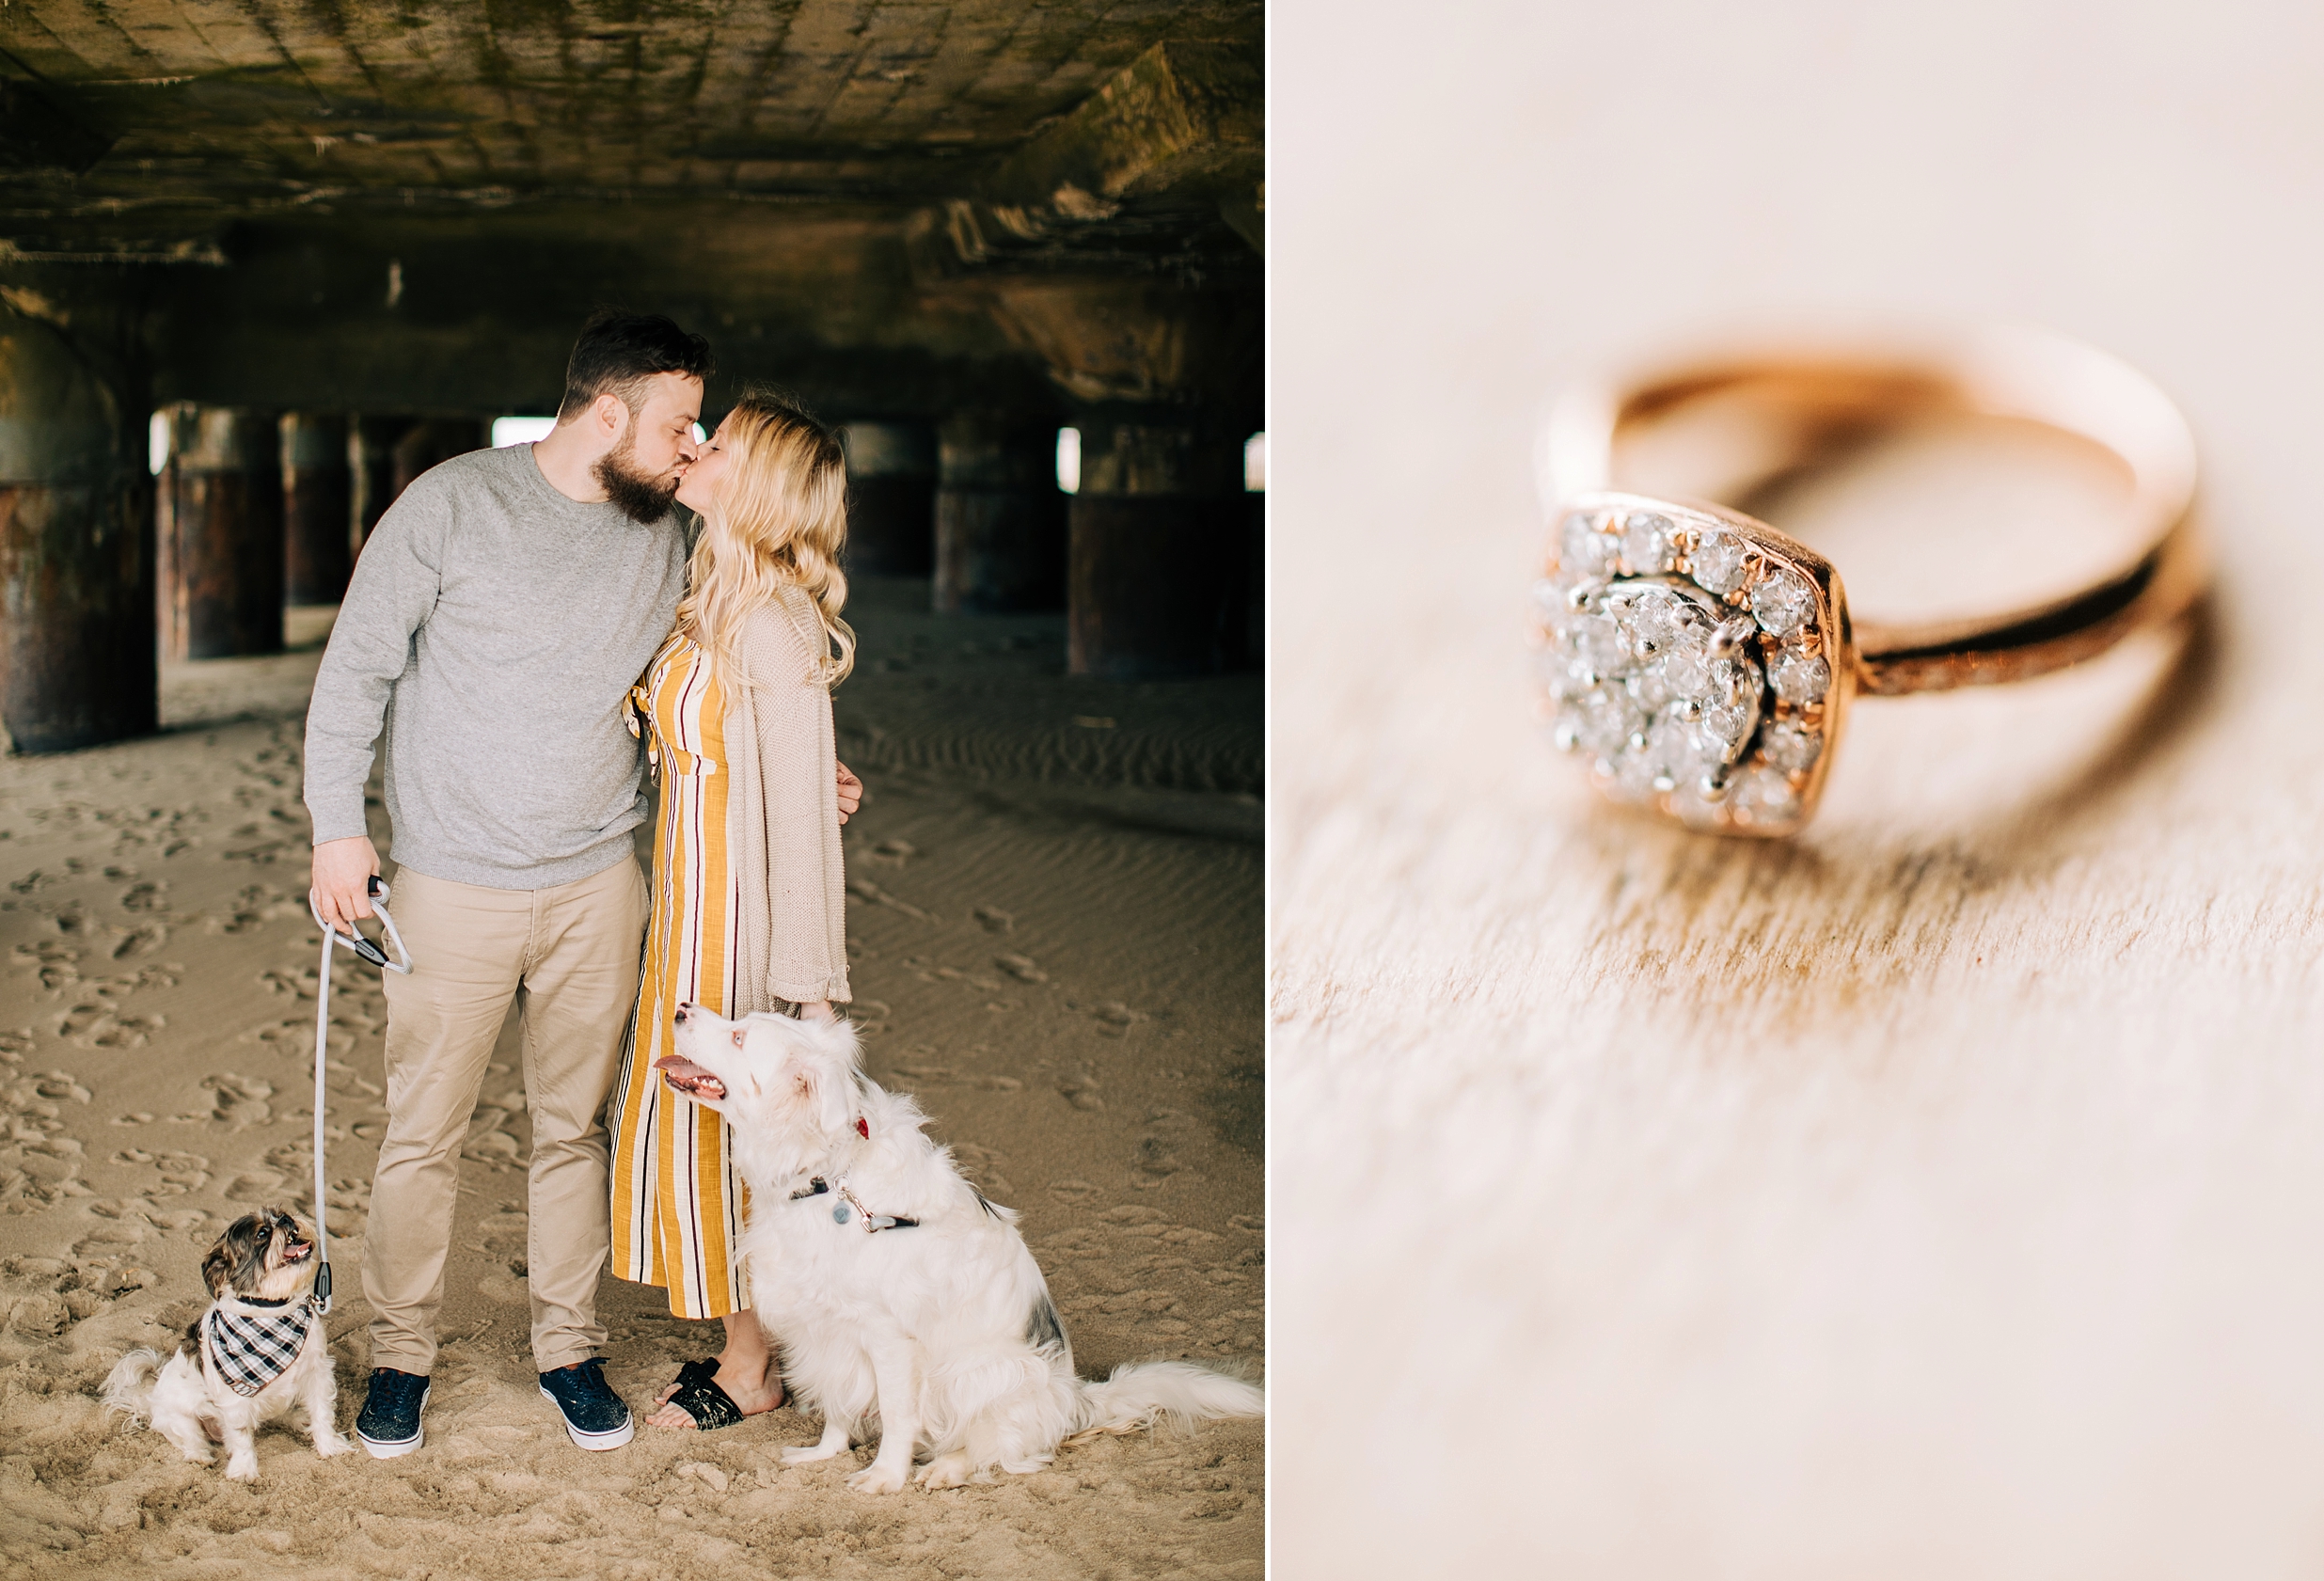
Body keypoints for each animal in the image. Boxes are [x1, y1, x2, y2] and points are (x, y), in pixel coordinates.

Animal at [100, 1209, 348, 1478]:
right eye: (262, 1233)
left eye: (281, 1214)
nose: (286, 1220)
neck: (272, 1309)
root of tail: (149, 1398)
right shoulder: (235, 1396)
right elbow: (240, 1436)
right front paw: (244, 1469)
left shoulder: (317, 1373)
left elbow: (322, 1412)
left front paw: (329, 1446)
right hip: (181, 1419)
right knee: (191, 1438)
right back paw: (199, 1456)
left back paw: (296, 1418)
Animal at [655, 999, 1273, 1497]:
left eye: (739, 1037)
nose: (681, 1007)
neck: (830, 1177)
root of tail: (1077, 1399)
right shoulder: (825, 1329)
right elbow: (838, 1402)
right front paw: (824, 1454)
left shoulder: (888, 1338)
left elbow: (898, 1416)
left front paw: (885, 1478)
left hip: (984, 1371)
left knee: (1002, 1447)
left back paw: (945, 1468)